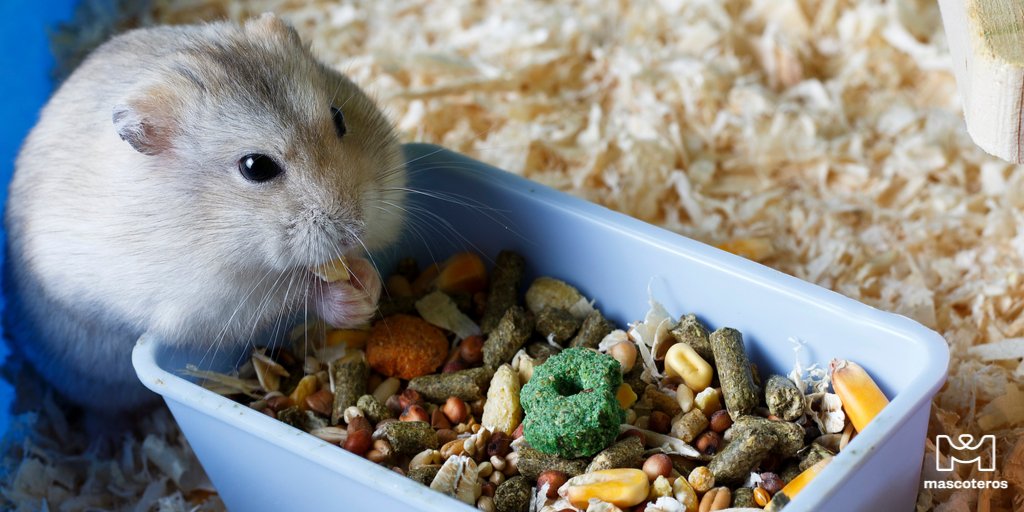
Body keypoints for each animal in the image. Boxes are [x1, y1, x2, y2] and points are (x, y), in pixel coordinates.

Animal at [3, 14, 406, 412]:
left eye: (339, 117)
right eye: (255, 167)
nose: (356, 227)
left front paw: (368, 282)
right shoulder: (213, 304)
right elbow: (293, 293)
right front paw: (352, 299)